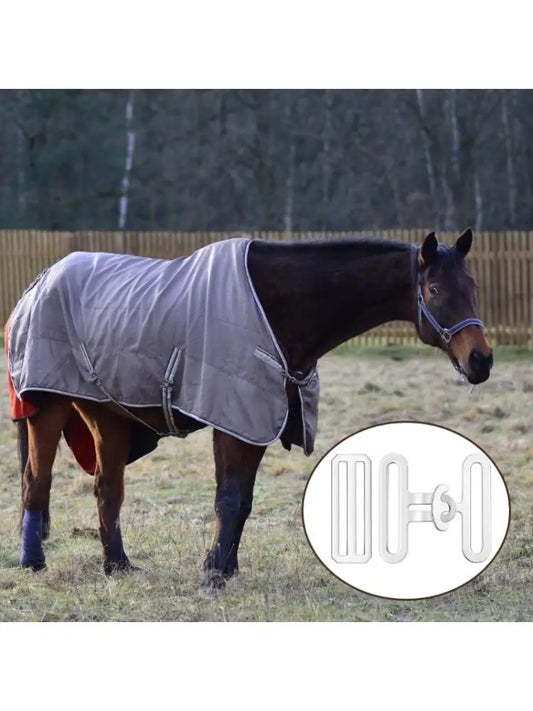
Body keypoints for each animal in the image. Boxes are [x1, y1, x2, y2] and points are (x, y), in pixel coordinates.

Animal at [6, 229, 493, 588]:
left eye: (472, 287)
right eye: (434, 289)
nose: (481, 360)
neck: (276, 308)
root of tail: (35, 286)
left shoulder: (258, 420)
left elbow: (243, 501)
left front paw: (223, 566)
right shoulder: (235, 419)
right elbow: (229, 497)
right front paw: (215, 573)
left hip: (107, 417)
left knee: (107, 490)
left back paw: (118, 565)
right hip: (48, 407)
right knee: (36, 481)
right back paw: (34, 562)